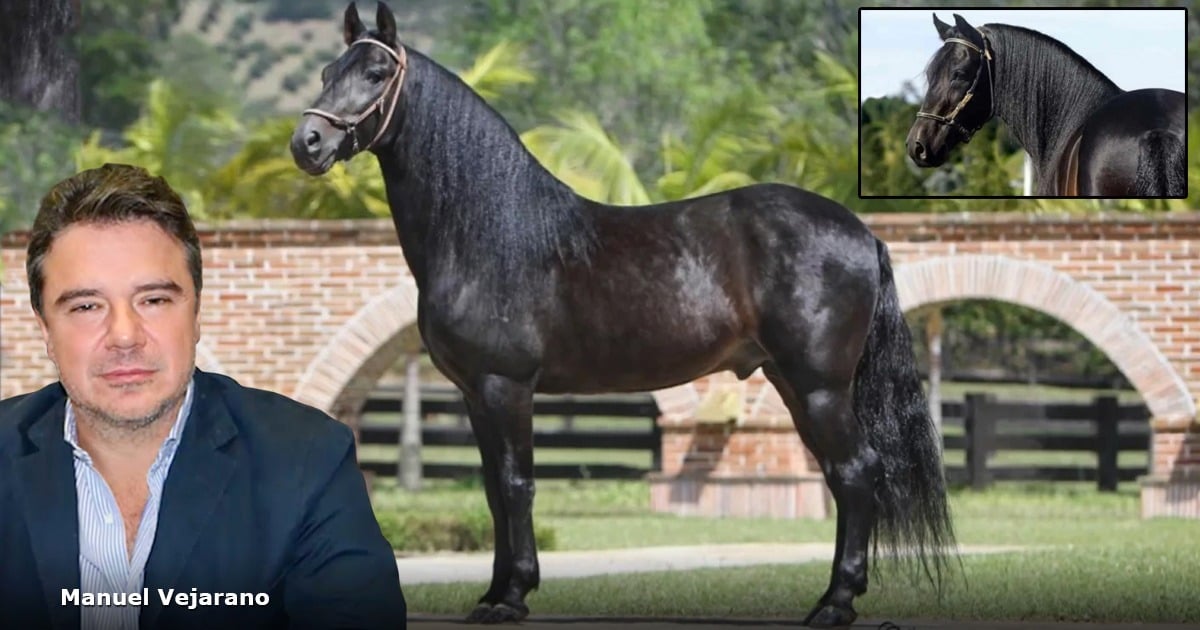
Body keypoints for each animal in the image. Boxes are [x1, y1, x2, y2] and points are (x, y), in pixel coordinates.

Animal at [291, 3, 954, 626]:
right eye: (326, 73)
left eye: (376, 73)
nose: (307, 144)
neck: (489, 233)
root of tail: (861, 232)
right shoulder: (475, 394)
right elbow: (493, 491)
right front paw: (495, 593)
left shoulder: (507, 387)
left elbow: (516, 485)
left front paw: (512, 596)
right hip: (792, 383)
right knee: (844, 476)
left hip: (819, 387)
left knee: (856, 473)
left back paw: (835, 604)